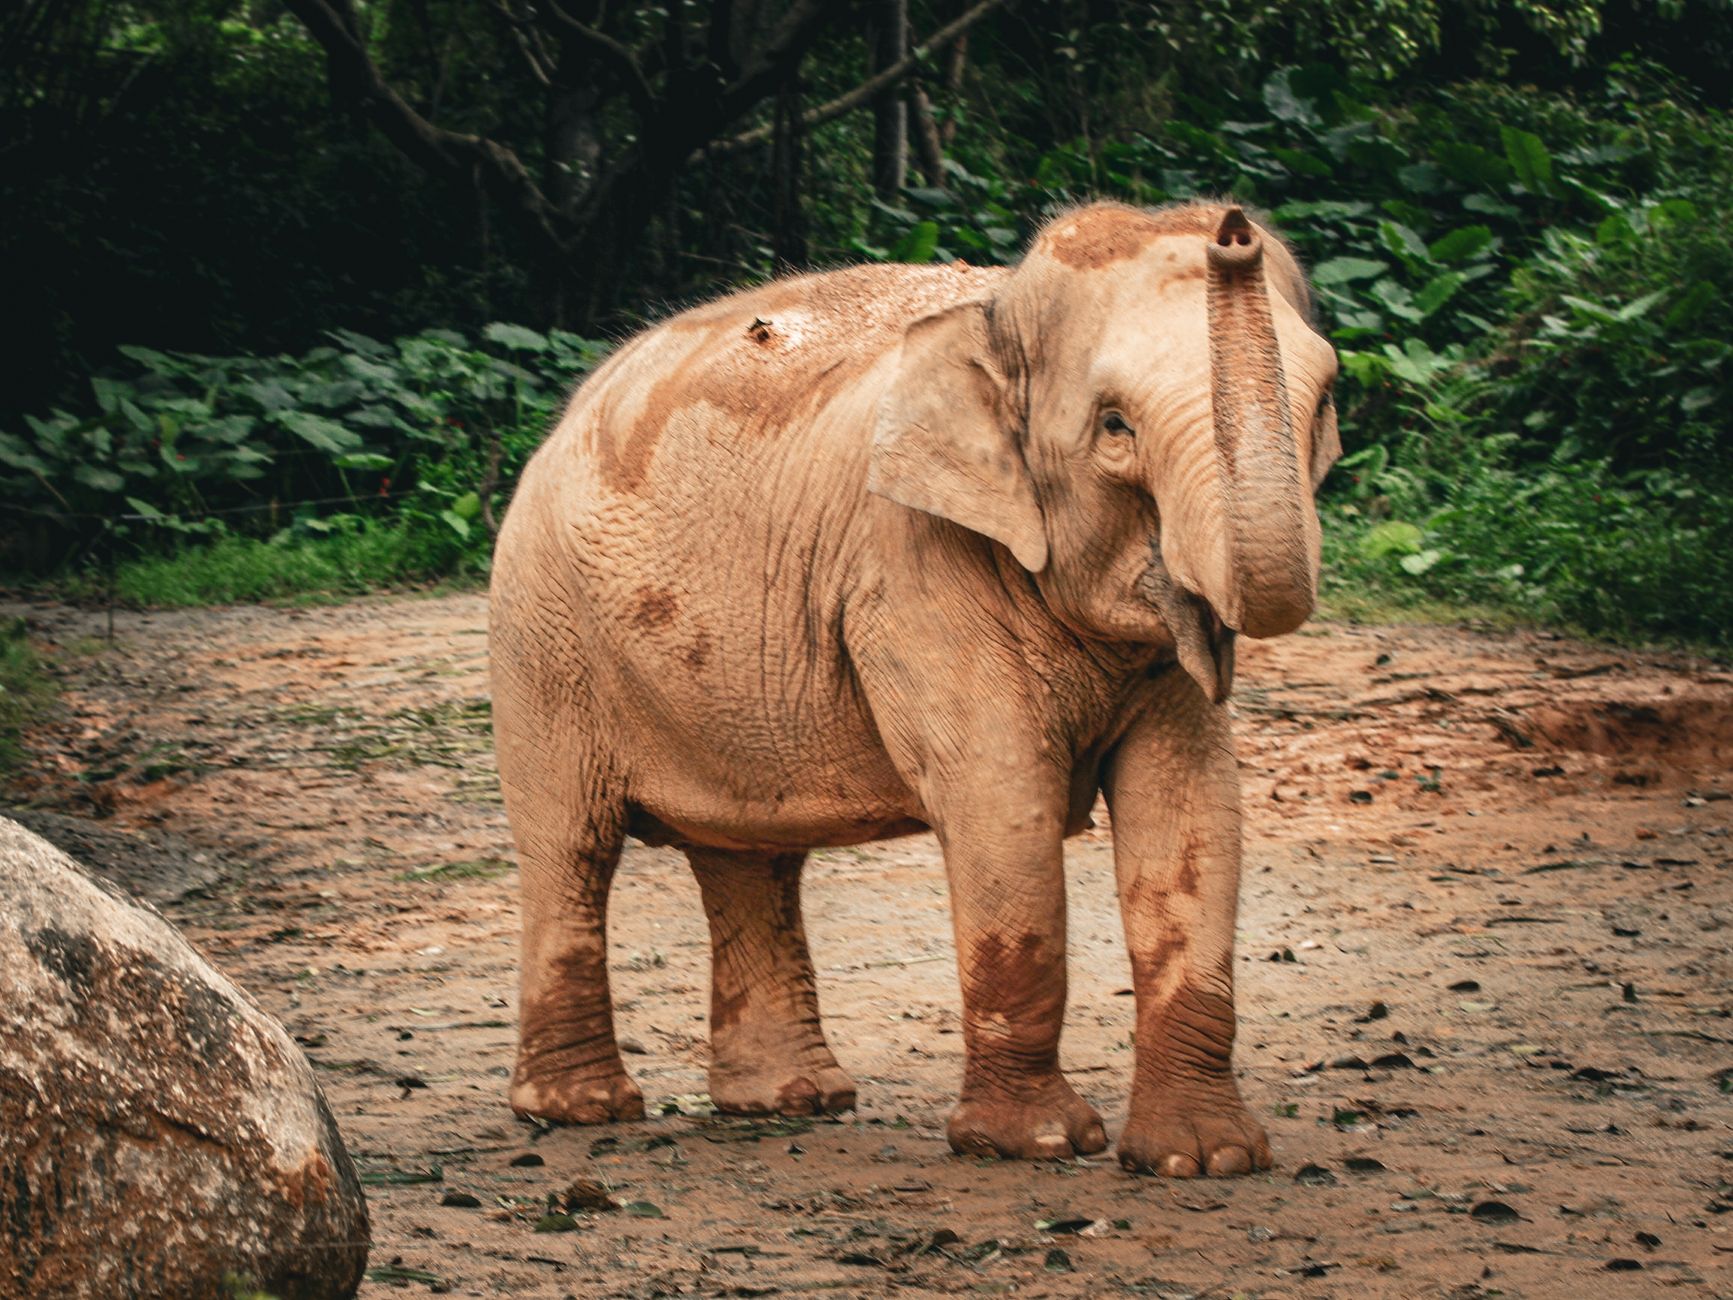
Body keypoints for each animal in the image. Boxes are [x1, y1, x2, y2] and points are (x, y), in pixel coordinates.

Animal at [488, 200, 1340, 1177]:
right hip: (541, 639)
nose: (1231, 228)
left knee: (747, 858)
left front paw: (1202, 1159)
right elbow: (1000, 804)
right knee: (570, 848)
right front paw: (1033, 1145)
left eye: (1326, 404)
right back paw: (579, 1111)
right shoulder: (907, 567)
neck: (996, 314)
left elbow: (1190, 808)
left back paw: (788, 1102)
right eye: (1115, 427)